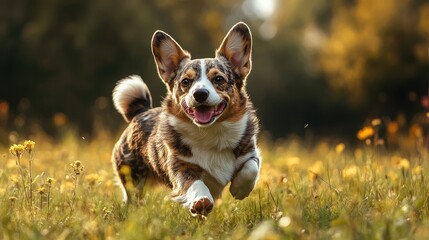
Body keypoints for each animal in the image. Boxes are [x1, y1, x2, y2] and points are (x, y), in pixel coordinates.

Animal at [112, 22, 260, 218]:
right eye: (185, 82)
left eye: (218, 79)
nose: (200, 94)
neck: (211, 132)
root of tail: (141, 111)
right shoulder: (180, 165)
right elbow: (193, 183)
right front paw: (201, 201)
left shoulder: (251, 152)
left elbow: (251, 169)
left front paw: (239, 189)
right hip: (132, 178)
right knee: (133, 198)